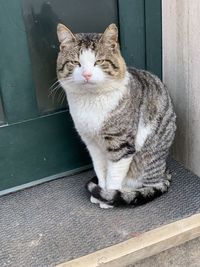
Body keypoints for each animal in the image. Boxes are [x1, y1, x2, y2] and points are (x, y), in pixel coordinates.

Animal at [56, 23, 177, 209]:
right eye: (75, 63)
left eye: (99, 62)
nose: (86, 74)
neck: (91, 101)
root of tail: (165, 170)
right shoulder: (92, 143)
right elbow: (100, 170)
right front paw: (101, 192)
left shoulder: (121, 144)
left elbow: (114, 175)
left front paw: (108, 198)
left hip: (149, 158)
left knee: (149, 184)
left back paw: (125, 191)